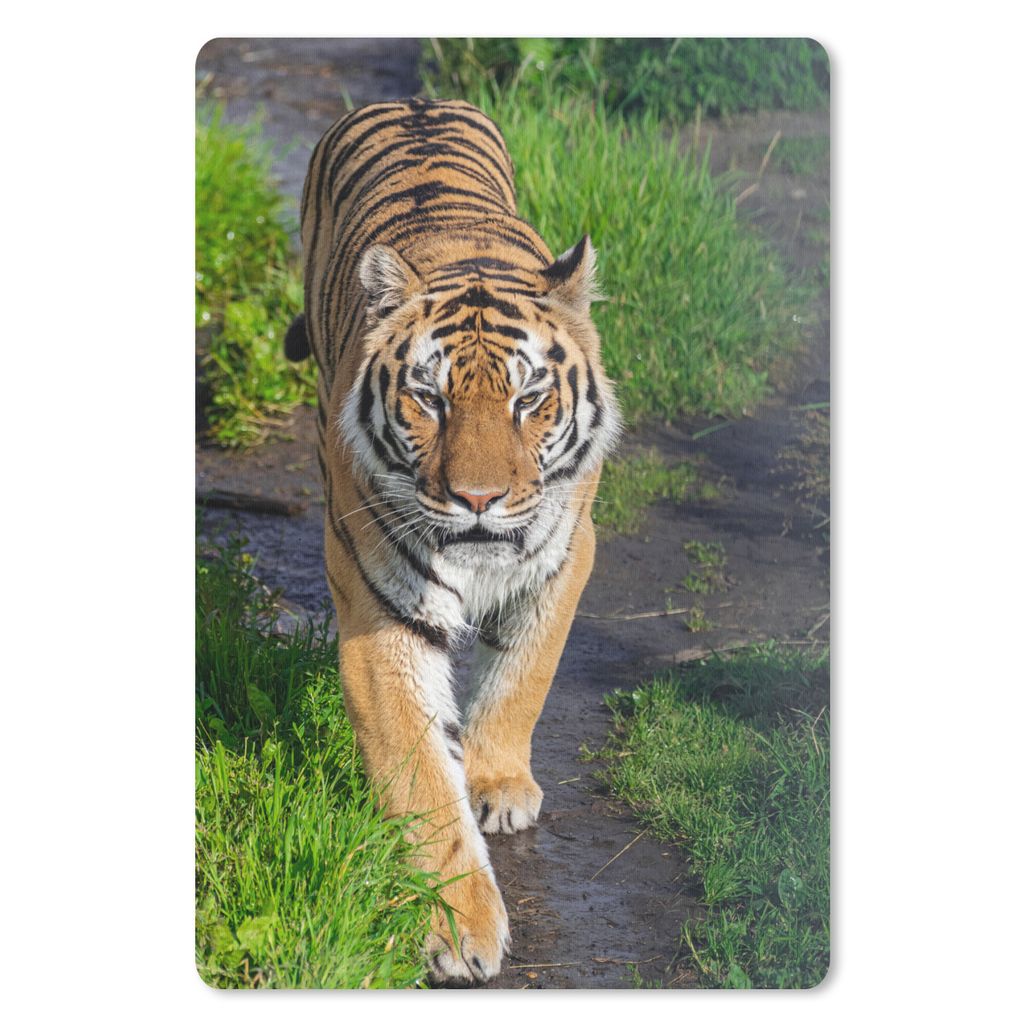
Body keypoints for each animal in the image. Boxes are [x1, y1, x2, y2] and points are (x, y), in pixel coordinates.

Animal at [285, 97, 621, 984]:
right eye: (429, 399)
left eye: (529, 398)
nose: (476, 498)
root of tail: (415, 100)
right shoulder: (380, 610)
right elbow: (421, 782)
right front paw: (460, 929)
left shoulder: (567, 556)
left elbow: (524, 673)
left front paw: (499, 783)